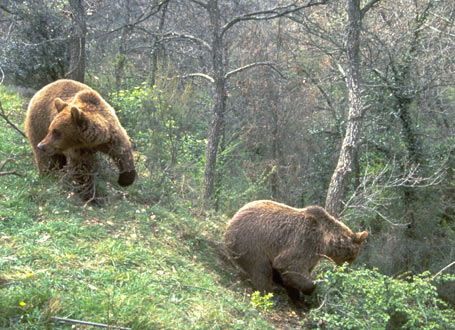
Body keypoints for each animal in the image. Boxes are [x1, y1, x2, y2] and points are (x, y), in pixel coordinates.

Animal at [225, 200, 370, 310]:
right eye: (351, 258)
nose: (346, 269)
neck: (325, 241)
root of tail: (231, 222)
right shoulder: (305, 242)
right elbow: (291, 266)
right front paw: (308, 291)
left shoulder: (312, 254)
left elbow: (296, 274)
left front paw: (296, 296)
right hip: (250, 244)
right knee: (261, 270)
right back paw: (269, 294)